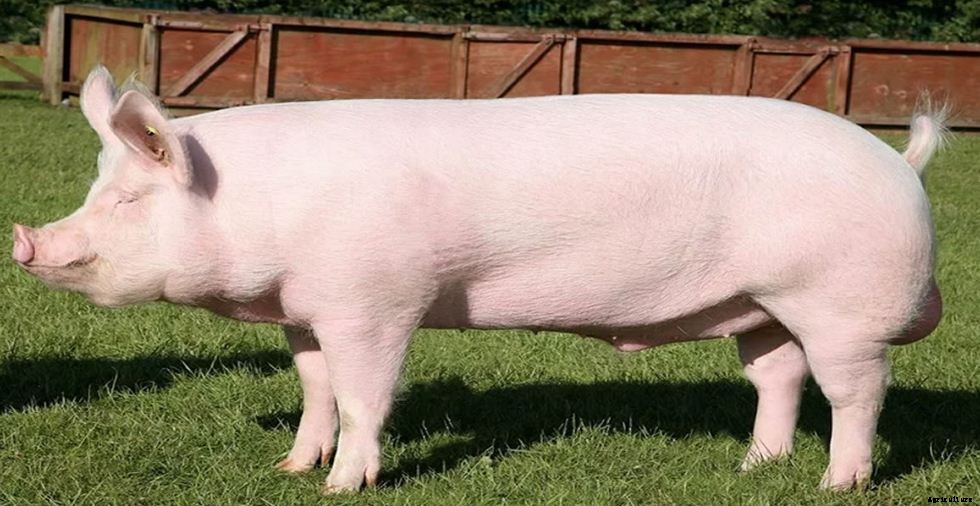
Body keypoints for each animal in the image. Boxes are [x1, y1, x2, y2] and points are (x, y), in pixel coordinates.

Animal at [12, 66, 944, 493]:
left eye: (128, 199)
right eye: (96, 190)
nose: (24, 241)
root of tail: (901, 162)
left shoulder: (377, 301)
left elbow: (363, 397)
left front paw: (344, 487)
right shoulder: (306, 309)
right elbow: (315, 391)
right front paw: (289, 469)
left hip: (841, 307)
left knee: (857, 393)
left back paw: (836, 484)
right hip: (760, 307)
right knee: (778, 378)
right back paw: (753, 469)